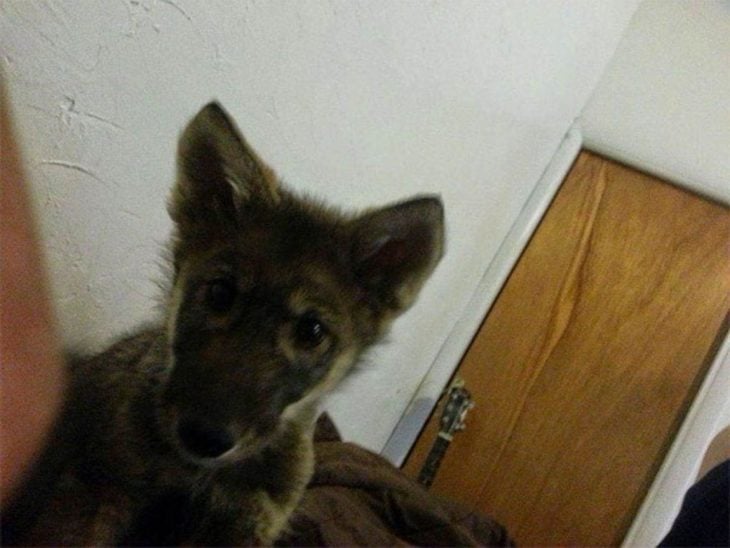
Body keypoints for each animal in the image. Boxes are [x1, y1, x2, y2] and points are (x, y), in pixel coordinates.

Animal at [1, 103, 444, 544]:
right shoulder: (98, 491)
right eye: (220, 293)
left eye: (312, 331)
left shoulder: (245, 523)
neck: (197, 473)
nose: (205, 438)